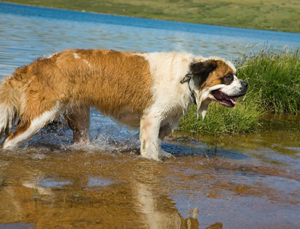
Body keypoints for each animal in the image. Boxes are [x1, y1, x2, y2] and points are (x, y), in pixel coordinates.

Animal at [0, 49, 247, 160]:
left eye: (236, 76)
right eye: (227, 78)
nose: (245, 84)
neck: (187, 78)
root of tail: (41, 63)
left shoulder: (165, 120)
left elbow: (160, 137)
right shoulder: (152, 118)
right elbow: (151, 146)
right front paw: (154, 159)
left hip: (79, 113)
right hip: (39, 116)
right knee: (10, 141)